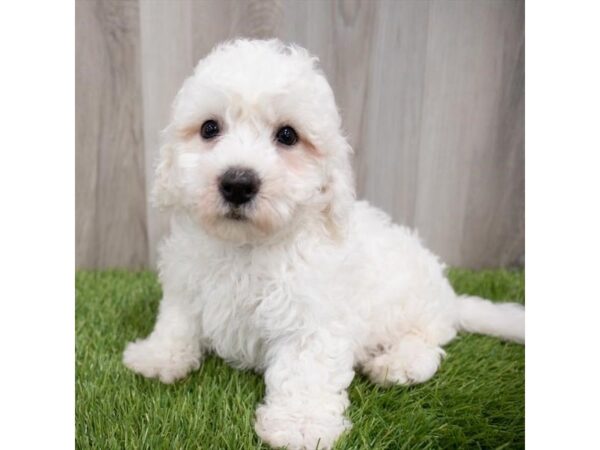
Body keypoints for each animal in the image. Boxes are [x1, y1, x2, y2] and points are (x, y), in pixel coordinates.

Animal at [123, 39, 524, 450]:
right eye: (209, 128)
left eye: (287, 135)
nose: (237, 183)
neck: (246, 246)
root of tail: (451, 300)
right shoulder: (186, 284)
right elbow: (178, 322)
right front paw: (158, 356)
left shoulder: (312, 318)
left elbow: (304, 370)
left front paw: (300, 425)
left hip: (415, 308)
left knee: (428, 342)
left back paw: (397, 364)